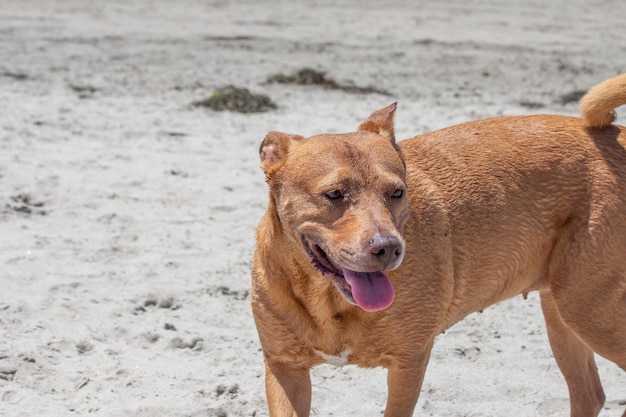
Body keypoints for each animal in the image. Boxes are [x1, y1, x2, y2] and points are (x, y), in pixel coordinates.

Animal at [250, 75, 624, 416]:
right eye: (334, 194)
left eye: (397, 192)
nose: (388, 248)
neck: (327, 299)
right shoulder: (286, 370)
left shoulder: (409, 364)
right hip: (564, 312)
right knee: (590, 394)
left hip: (589, 311)